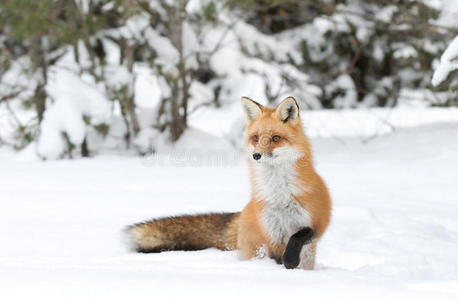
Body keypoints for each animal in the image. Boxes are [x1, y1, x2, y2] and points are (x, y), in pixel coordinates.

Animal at [127, 97, 330, 270]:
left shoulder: (316, 221)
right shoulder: (271, 232)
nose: (256, 155)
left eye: (275, 138)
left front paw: (290, 260)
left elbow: (300, 235)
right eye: (256, 138)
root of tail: (242, 214)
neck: (279, 195)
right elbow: (277, 255)